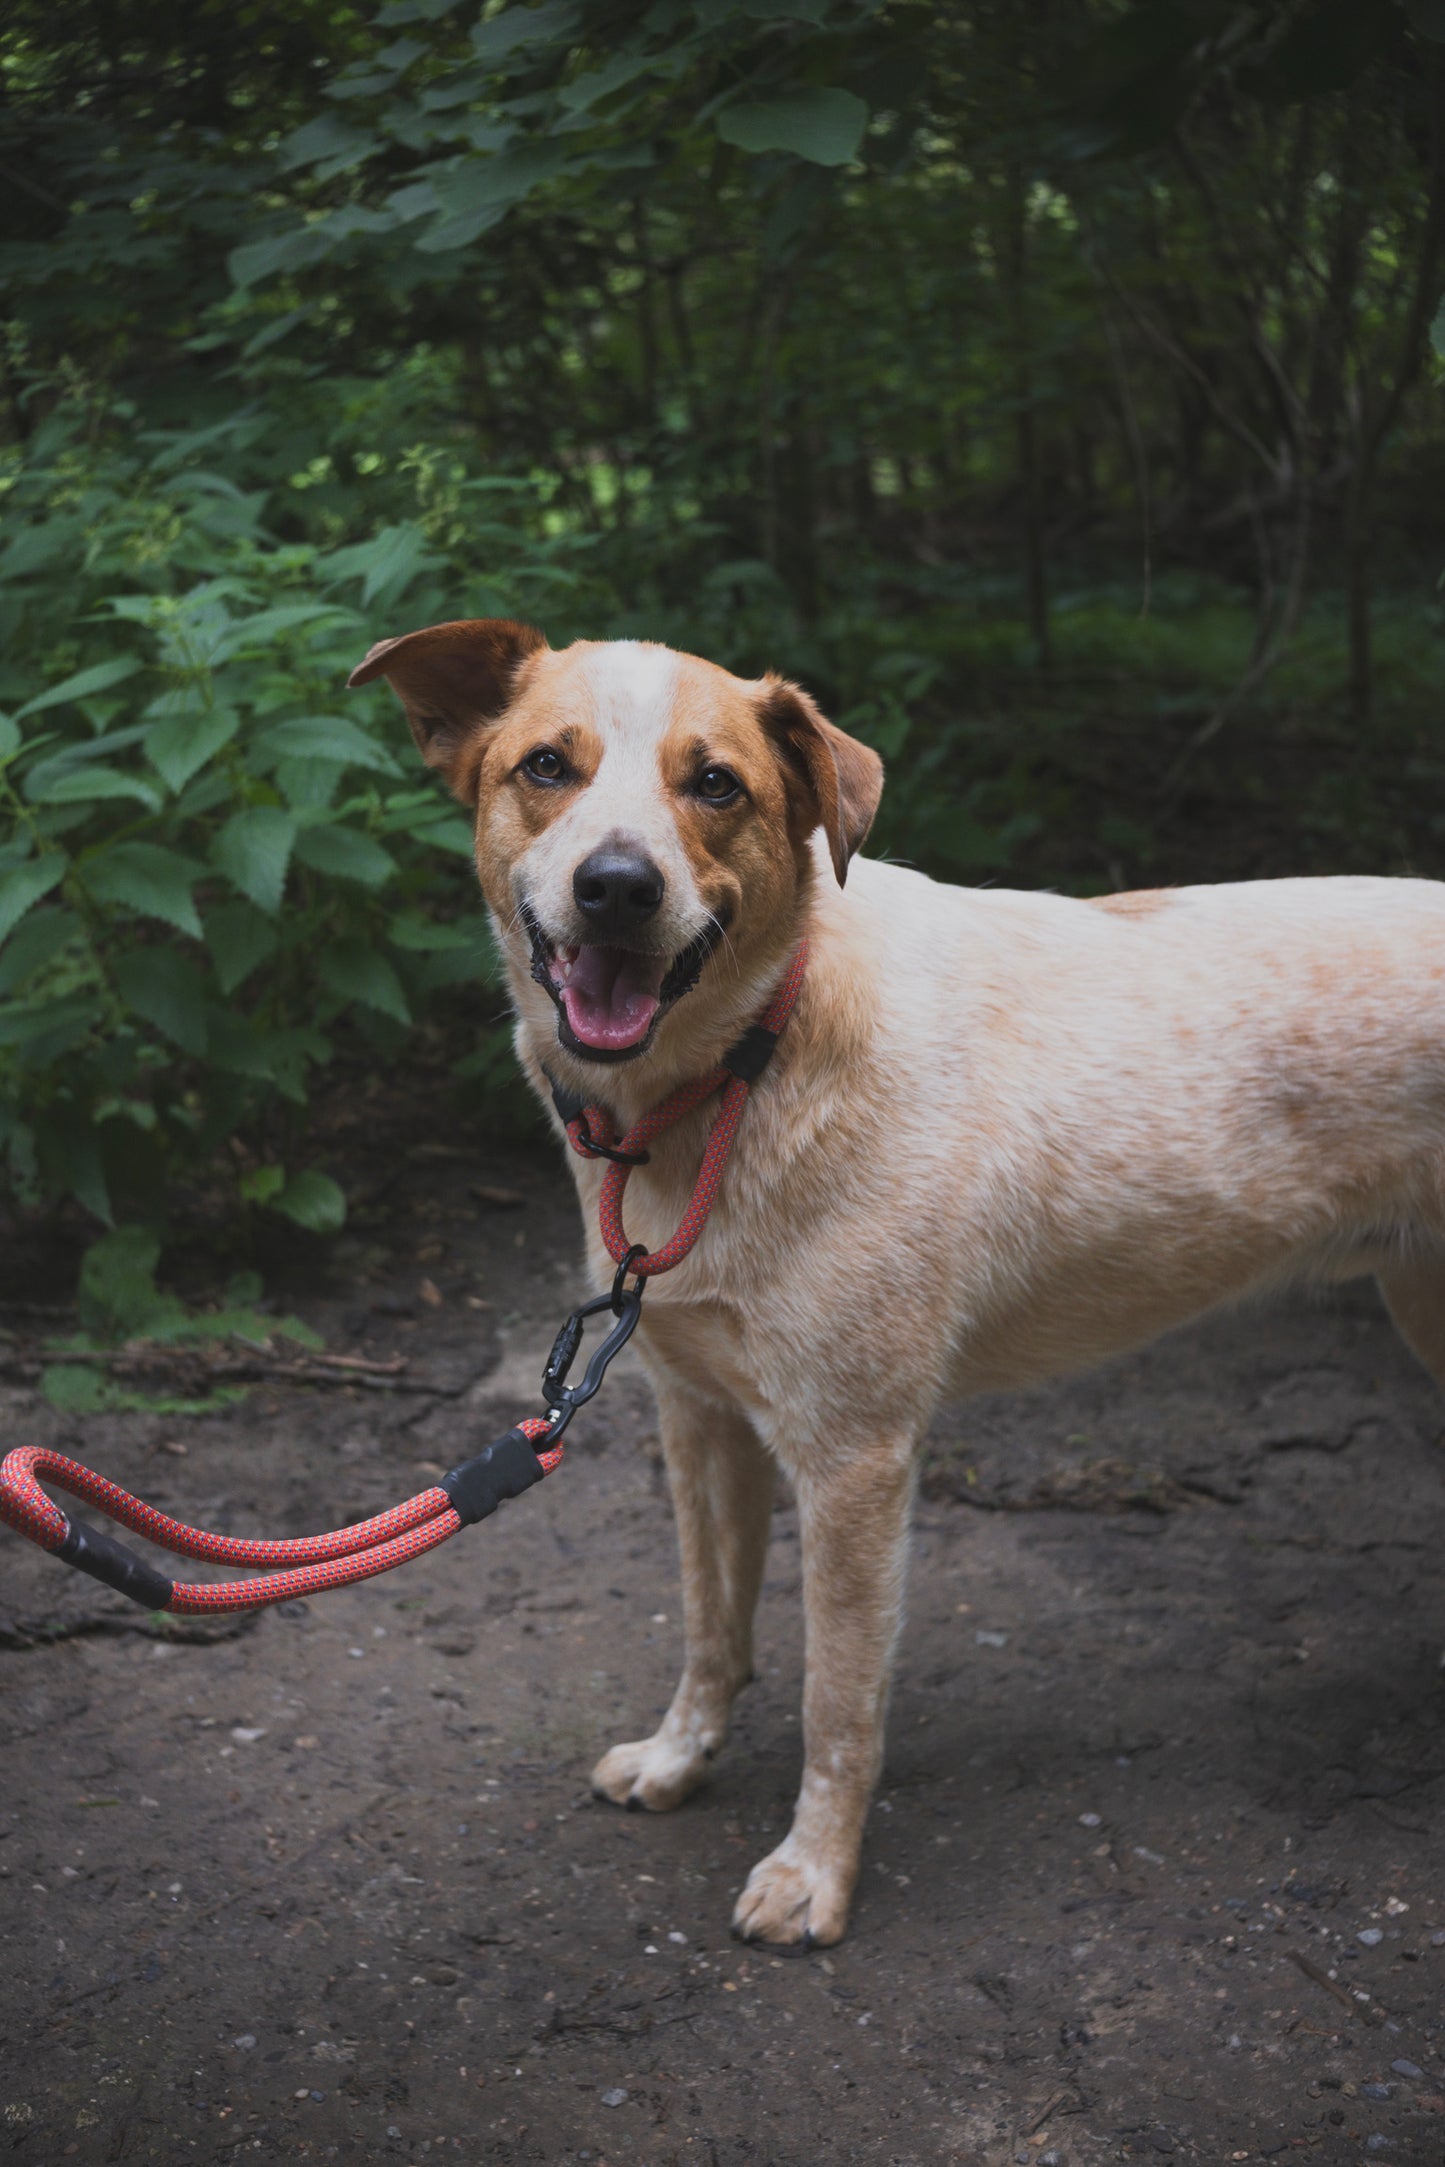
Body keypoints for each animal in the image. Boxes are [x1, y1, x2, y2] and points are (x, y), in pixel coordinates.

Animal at [346, 624, 1445, 1950]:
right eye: (546, 766)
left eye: (715, 785)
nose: (616, 886)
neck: (737, 1077)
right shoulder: (697, 1415)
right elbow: (711, 1625)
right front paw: (677, 1760)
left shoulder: (854, 1460)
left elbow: (837, 1702)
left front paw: (813, 1875)